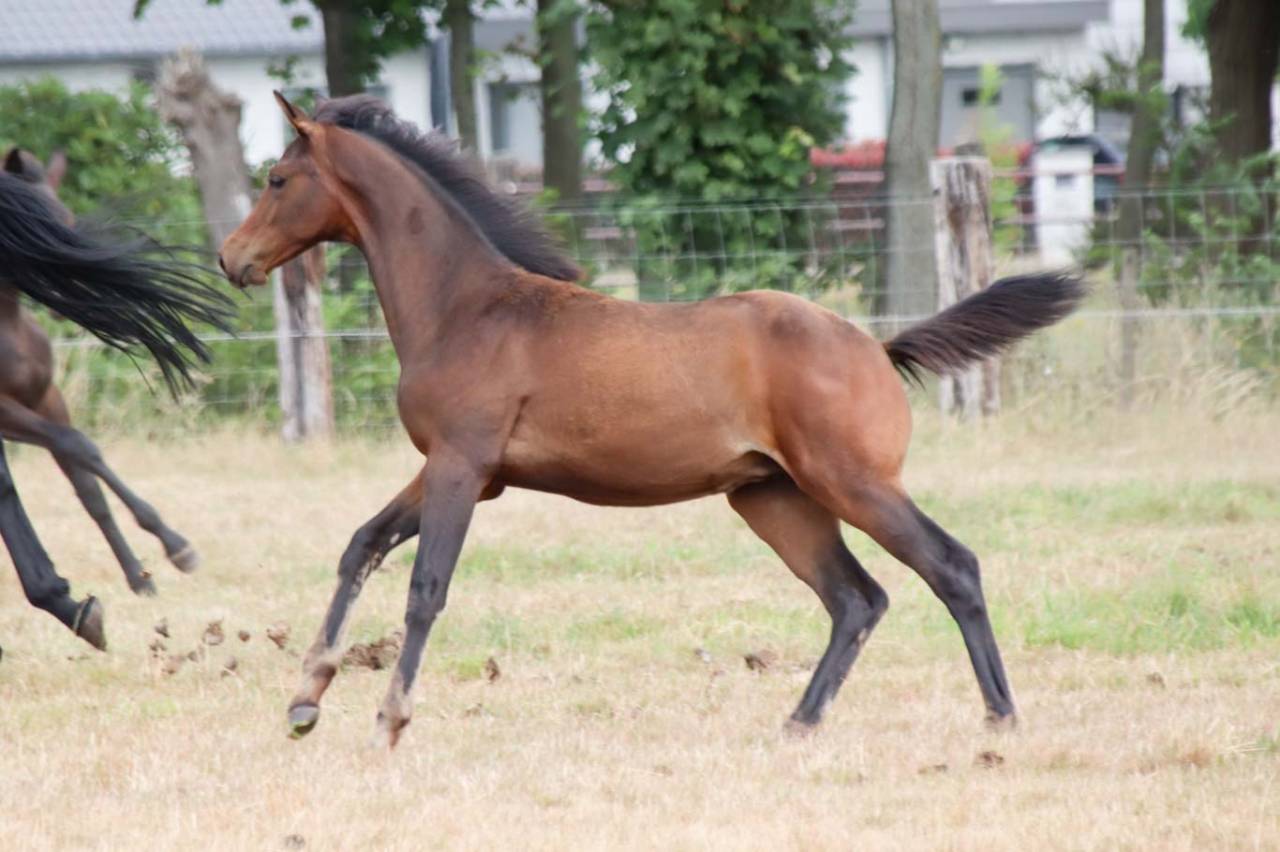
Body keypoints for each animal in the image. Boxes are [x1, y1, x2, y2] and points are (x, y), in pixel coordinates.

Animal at [0, 147, 233, 655]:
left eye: (64, 219)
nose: (63, 273)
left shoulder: (46, 399)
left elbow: (88, 485)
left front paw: (144, 571)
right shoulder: (8, 410)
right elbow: (79, 448)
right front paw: (172, 543)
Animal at [219, 93, 1085, 748]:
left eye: (277, 177)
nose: (232, 259)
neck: (467, 307)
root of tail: (877, 345)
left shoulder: (463, 467)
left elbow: (426, 586)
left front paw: (389, 719)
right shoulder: (460, 470)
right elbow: (361, 545)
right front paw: (305, 699)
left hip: (852, 483)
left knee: (951, 567)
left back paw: (1000, 717)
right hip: (775, 499)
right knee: (856, 600)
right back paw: (799, 722)